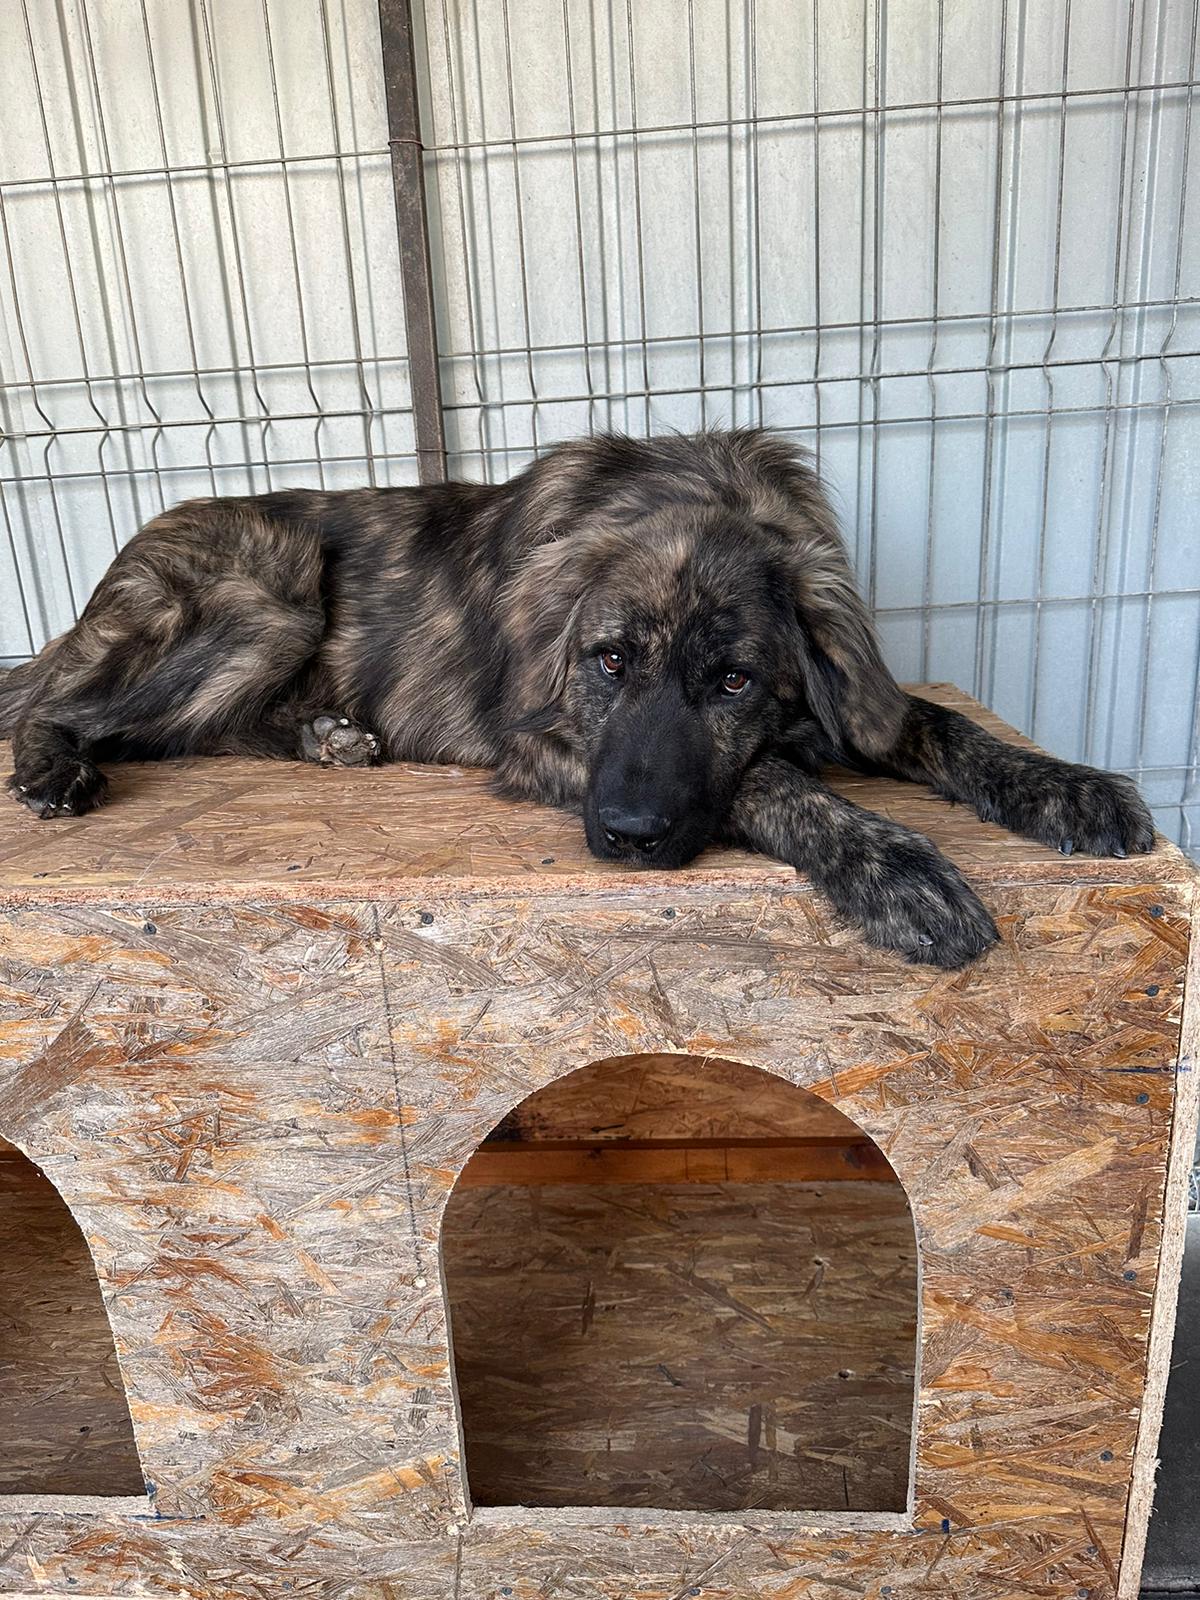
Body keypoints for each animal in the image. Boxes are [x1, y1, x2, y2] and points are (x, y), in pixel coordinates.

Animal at [0, 429, 1153, 967]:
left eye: (734, 680)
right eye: (606, 663)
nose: (630, 836)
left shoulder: (849, 701)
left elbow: (932, 720)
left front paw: (1067, 786)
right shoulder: (540, 743)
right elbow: (767, 780)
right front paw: (898, 869)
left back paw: (331, 736)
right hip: (269, 592)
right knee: (58, 705)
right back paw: (55, 764)